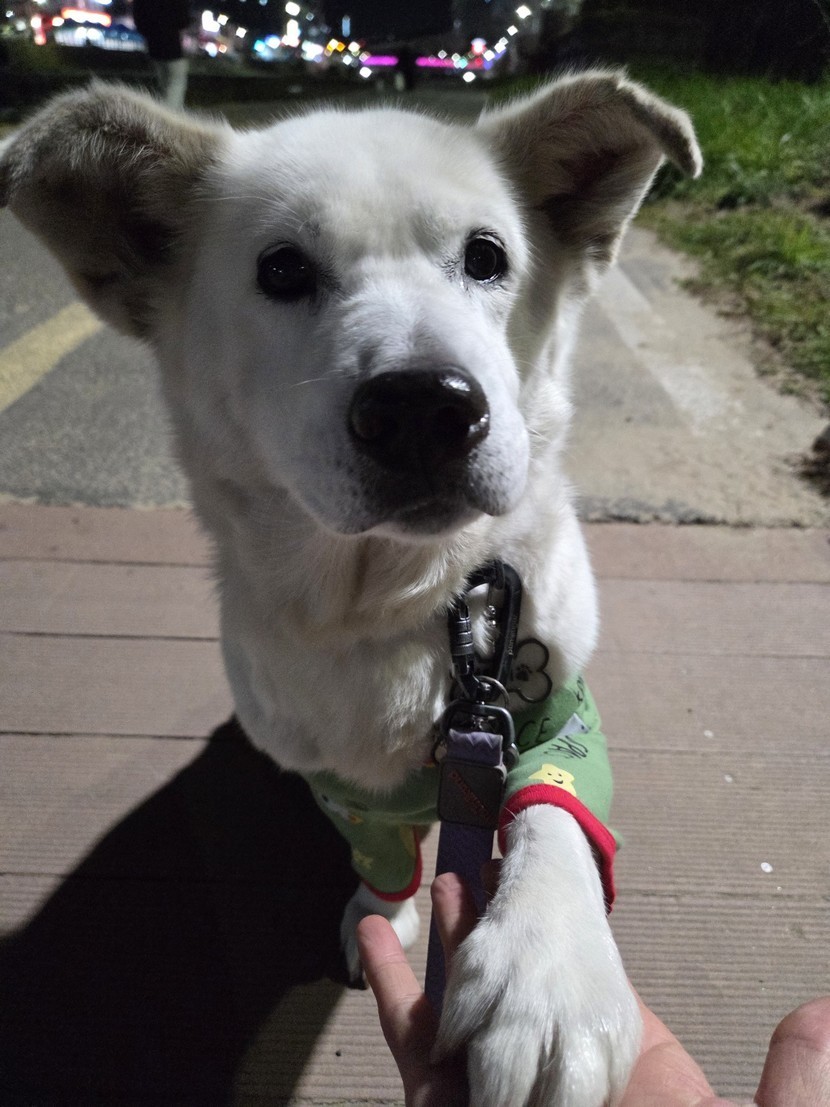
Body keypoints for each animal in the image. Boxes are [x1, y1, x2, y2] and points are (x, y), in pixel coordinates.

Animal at [0, 72, 701, 1106]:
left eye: (487, 256)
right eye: (282, 270)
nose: (426, 407)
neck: (405, 603)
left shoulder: (555, 708)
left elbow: (554, 817)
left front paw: (549, 976)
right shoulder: (346, 786)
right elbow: (383, 863)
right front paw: (389, 912)